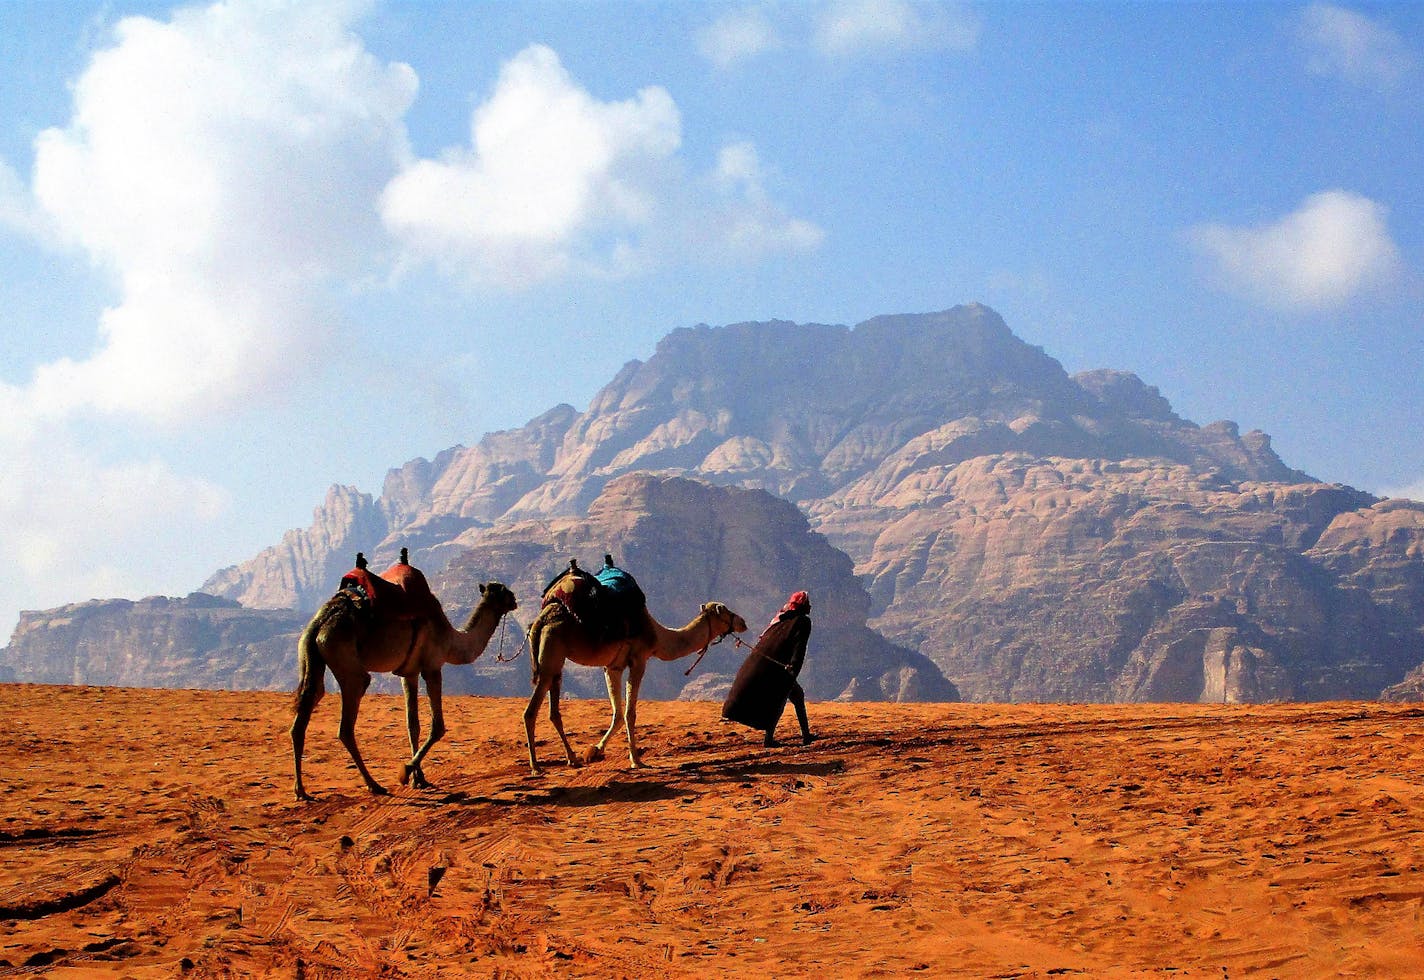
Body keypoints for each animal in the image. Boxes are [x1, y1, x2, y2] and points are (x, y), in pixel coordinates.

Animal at [289, 566, 518, 803]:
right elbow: (437, 727)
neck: (452, 640)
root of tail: (320, 622)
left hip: (310, 655)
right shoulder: (432, 666)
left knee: (306, 708)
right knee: (347, 721)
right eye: (503, 592)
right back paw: (374, 785)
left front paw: (420, 779)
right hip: (345, 659)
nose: (514, 600)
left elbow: (412, 724)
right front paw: (405, 772)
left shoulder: (409, 673)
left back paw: (301, 791)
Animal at [524, 566, 746, 774]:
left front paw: (594, 752)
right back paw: (536, 766)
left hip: (556, 660)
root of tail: (541, 620)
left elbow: (617, 714)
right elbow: (630, 713)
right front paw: (636, 761)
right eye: (726, 611)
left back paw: (572, 758)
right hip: (552, 651)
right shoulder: (639, 660)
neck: (658, 636)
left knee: (553, 710)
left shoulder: (613, 666)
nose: (743, 622)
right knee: (531, 710)